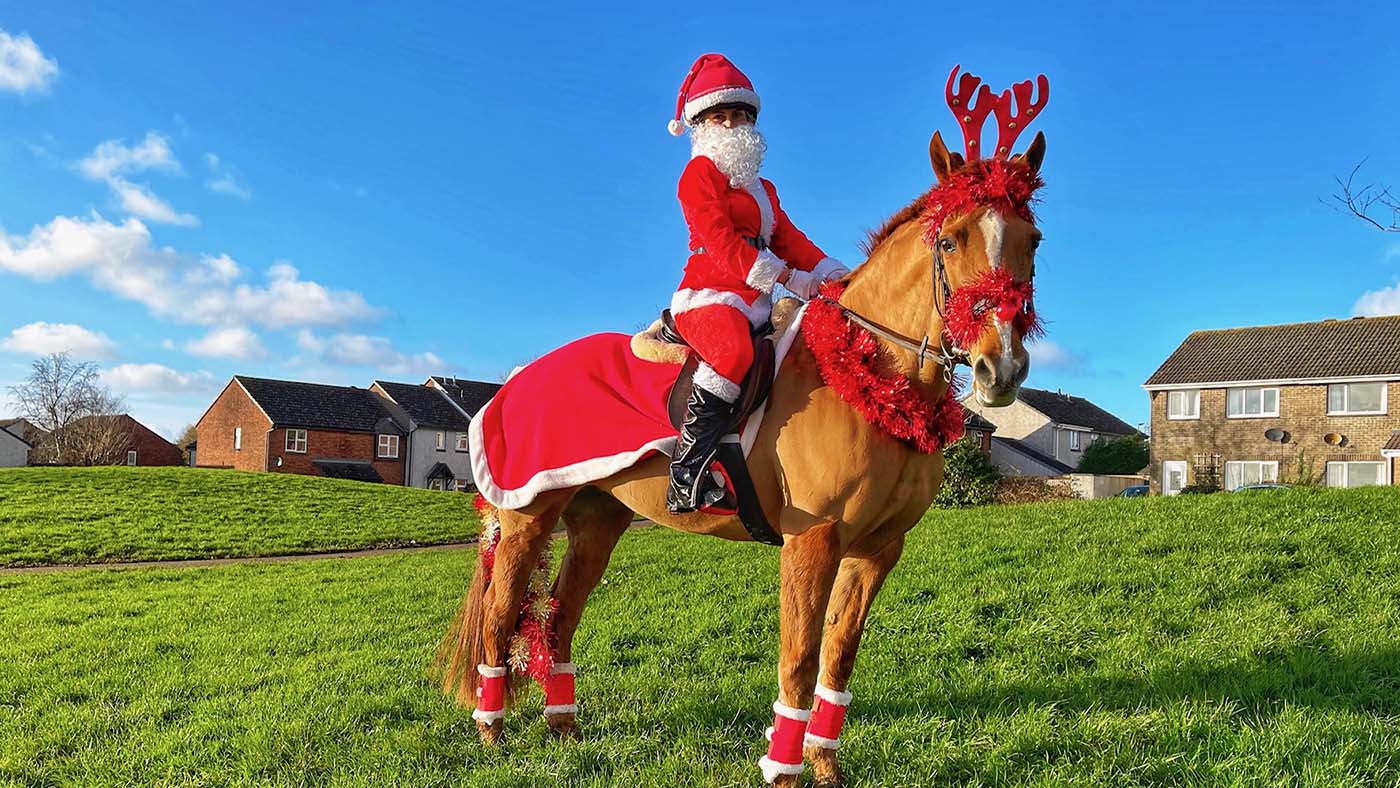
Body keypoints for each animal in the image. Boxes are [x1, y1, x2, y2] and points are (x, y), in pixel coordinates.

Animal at [437, 68, 1049, 787]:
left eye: (1032, 241)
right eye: (950, 238)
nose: (1001, 366)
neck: (868, 374)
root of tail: (514, 380)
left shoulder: (878, 549)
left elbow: (839, 656)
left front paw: (825, 766)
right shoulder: (812, 542)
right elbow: (800, 660)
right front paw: (784, 771)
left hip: (597, 521)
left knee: (559, 618)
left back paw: (565, 731)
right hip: (529, 518)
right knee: (501, 617)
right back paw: (492, 733)